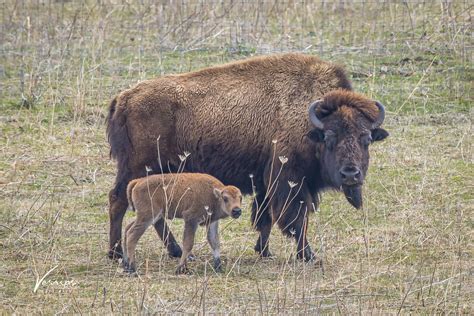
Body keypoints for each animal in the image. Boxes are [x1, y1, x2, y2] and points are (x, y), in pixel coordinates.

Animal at [106, 53, 388, 262]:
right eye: (330, 138)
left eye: (366, 138)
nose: (351, 174)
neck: (308, 123)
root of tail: (124, 98)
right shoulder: (289, 181)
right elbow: (296, 218)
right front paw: (308, 255)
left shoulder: (266, 183)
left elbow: (265, 218)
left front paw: (264, 251)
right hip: (139, 168)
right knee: (119, 200)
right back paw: (116, 252)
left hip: (157, 173)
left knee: (152, 212)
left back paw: (174, 251)